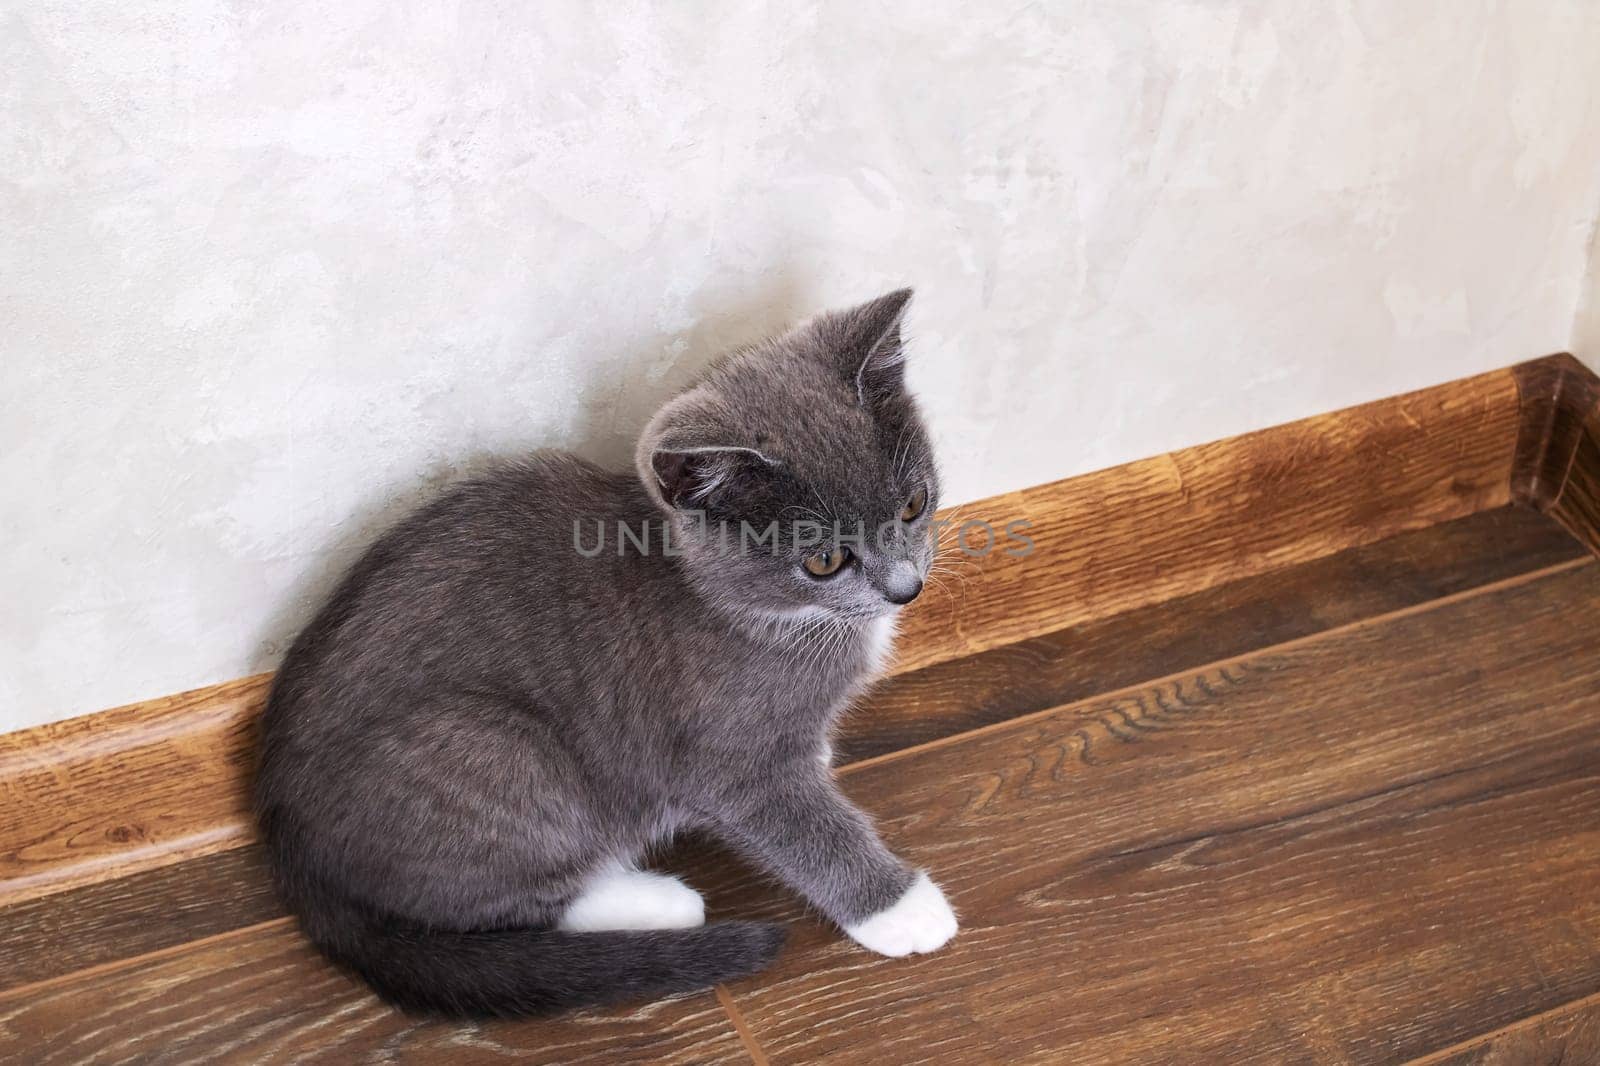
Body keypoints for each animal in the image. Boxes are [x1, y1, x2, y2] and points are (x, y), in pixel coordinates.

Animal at [259, 288, 960, 1011]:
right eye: (825, 561)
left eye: (913, 504)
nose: (906, 587)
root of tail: (293, 856)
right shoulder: (729, 757)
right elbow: (802, 825)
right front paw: (901, 908)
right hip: (497, 752)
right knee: (512, 903)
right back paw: (658, 901)